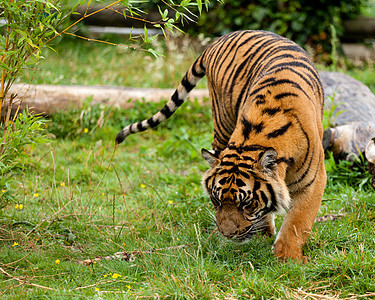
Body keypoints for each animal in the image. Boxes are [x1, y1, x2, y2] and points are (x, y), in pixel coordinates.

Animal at [116, 29, 328, 262]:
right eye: (216, 201)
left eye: (246, 204)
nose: (227, 234)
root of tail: (220, 39)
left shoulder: (313, 181)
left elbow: (297, 222)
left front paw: (287, 257)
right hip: (221, 121)